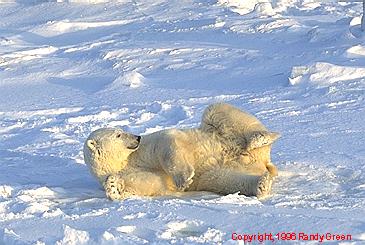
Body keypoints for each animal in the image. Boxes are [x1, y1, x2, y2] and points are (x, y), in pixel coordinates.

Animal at [84, 102, 280, 200]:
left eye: (121, 130)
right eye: (118, 135)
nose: (137, 137)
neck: (124, 162)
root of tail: (263, 160)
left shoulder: (144, 149)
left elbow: (166, 144)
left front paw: (184, 178)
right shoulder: (127, 172)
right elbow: (150, 183)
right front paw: (113, 187)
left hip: (228, 133)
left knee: (219, 110)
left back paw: (261, 138)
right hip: (222, 171)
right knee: (229, 180)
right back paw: (261, 185)